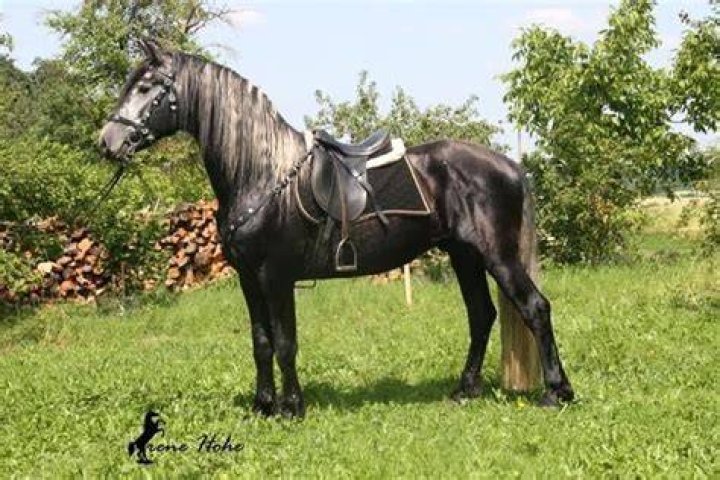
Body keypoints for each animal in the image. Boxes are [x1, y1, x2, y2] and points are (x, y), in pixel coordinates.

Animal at [99, 39, 573, 418]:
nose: (107, 142)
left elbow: (285, 343)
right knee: (481, 314)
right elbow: (261, 342)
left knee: (535, 308)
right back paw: (465, 389)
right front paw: (263, 405)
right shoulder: (249, 280)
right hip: (464, 255)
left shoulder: (275, 277)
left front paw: (292, 408)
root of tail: (509, 165)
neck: (262, 176)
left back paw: (557, 392)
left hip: (498, 255)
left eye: (146, 87)